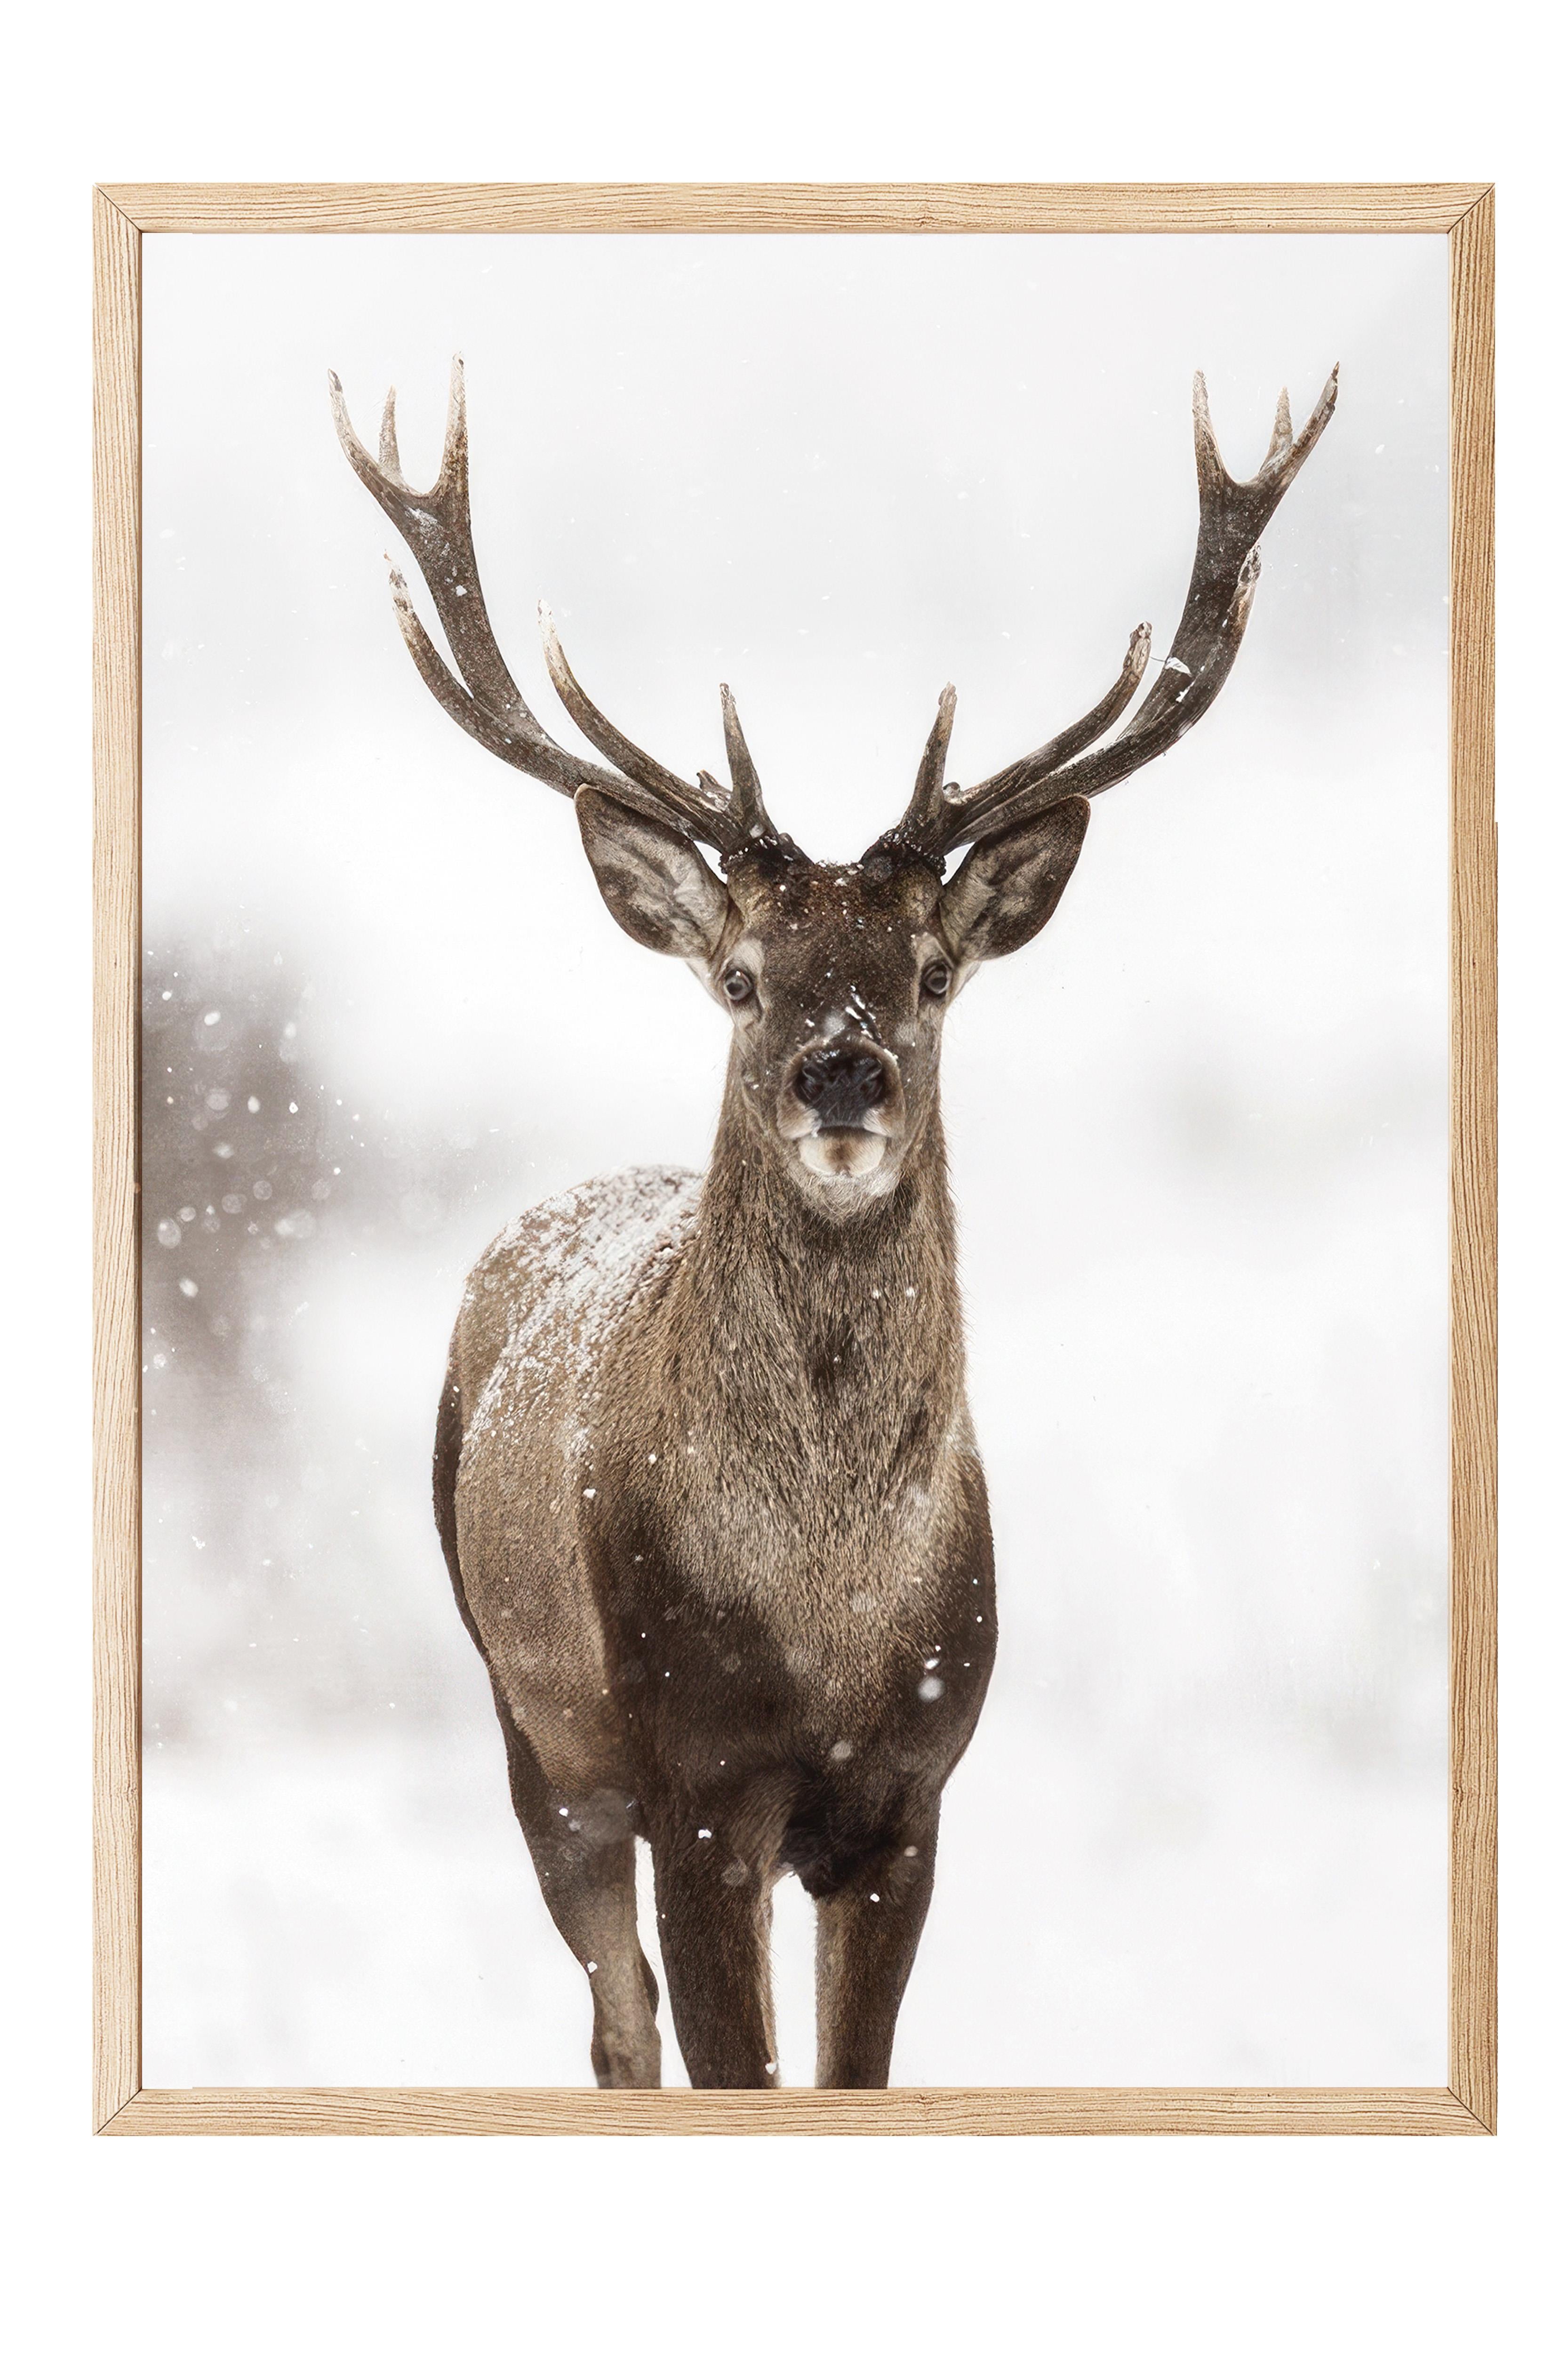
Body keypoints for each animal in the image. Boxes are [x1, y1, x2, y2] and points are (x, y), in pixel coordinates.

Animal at [329, 356, 1336, 2091]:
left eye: (931, 974)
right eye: (741, 978)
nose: (842, 1068)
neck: (831, 1623)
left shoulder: (912, 1793)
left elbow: (851, 2074)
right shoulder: (693, 1781)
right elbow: (727, 2065)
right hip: (530, 1727)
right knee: (615, 2030)